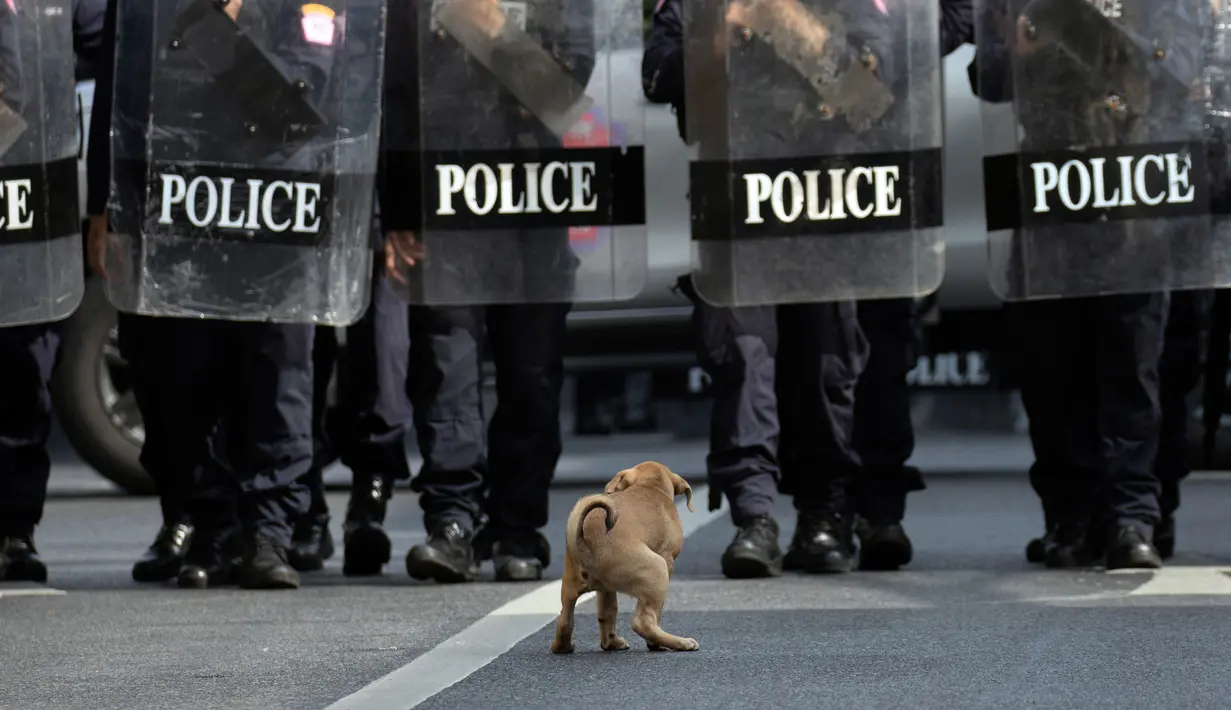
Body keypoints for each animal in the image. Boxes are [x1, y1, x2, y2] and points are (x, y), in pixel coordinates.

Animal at [551, 460, 699, 654]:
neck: (651, 485)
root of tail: (584, 545)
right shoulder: (668, 560)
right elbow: (658, 613)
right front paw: (655, 643)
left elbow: (607, 613)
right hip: (657, 570)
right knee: (643, 622)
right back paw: (676, 642)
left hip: (580, 587)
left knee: (568, 619)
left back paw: (584, 645)